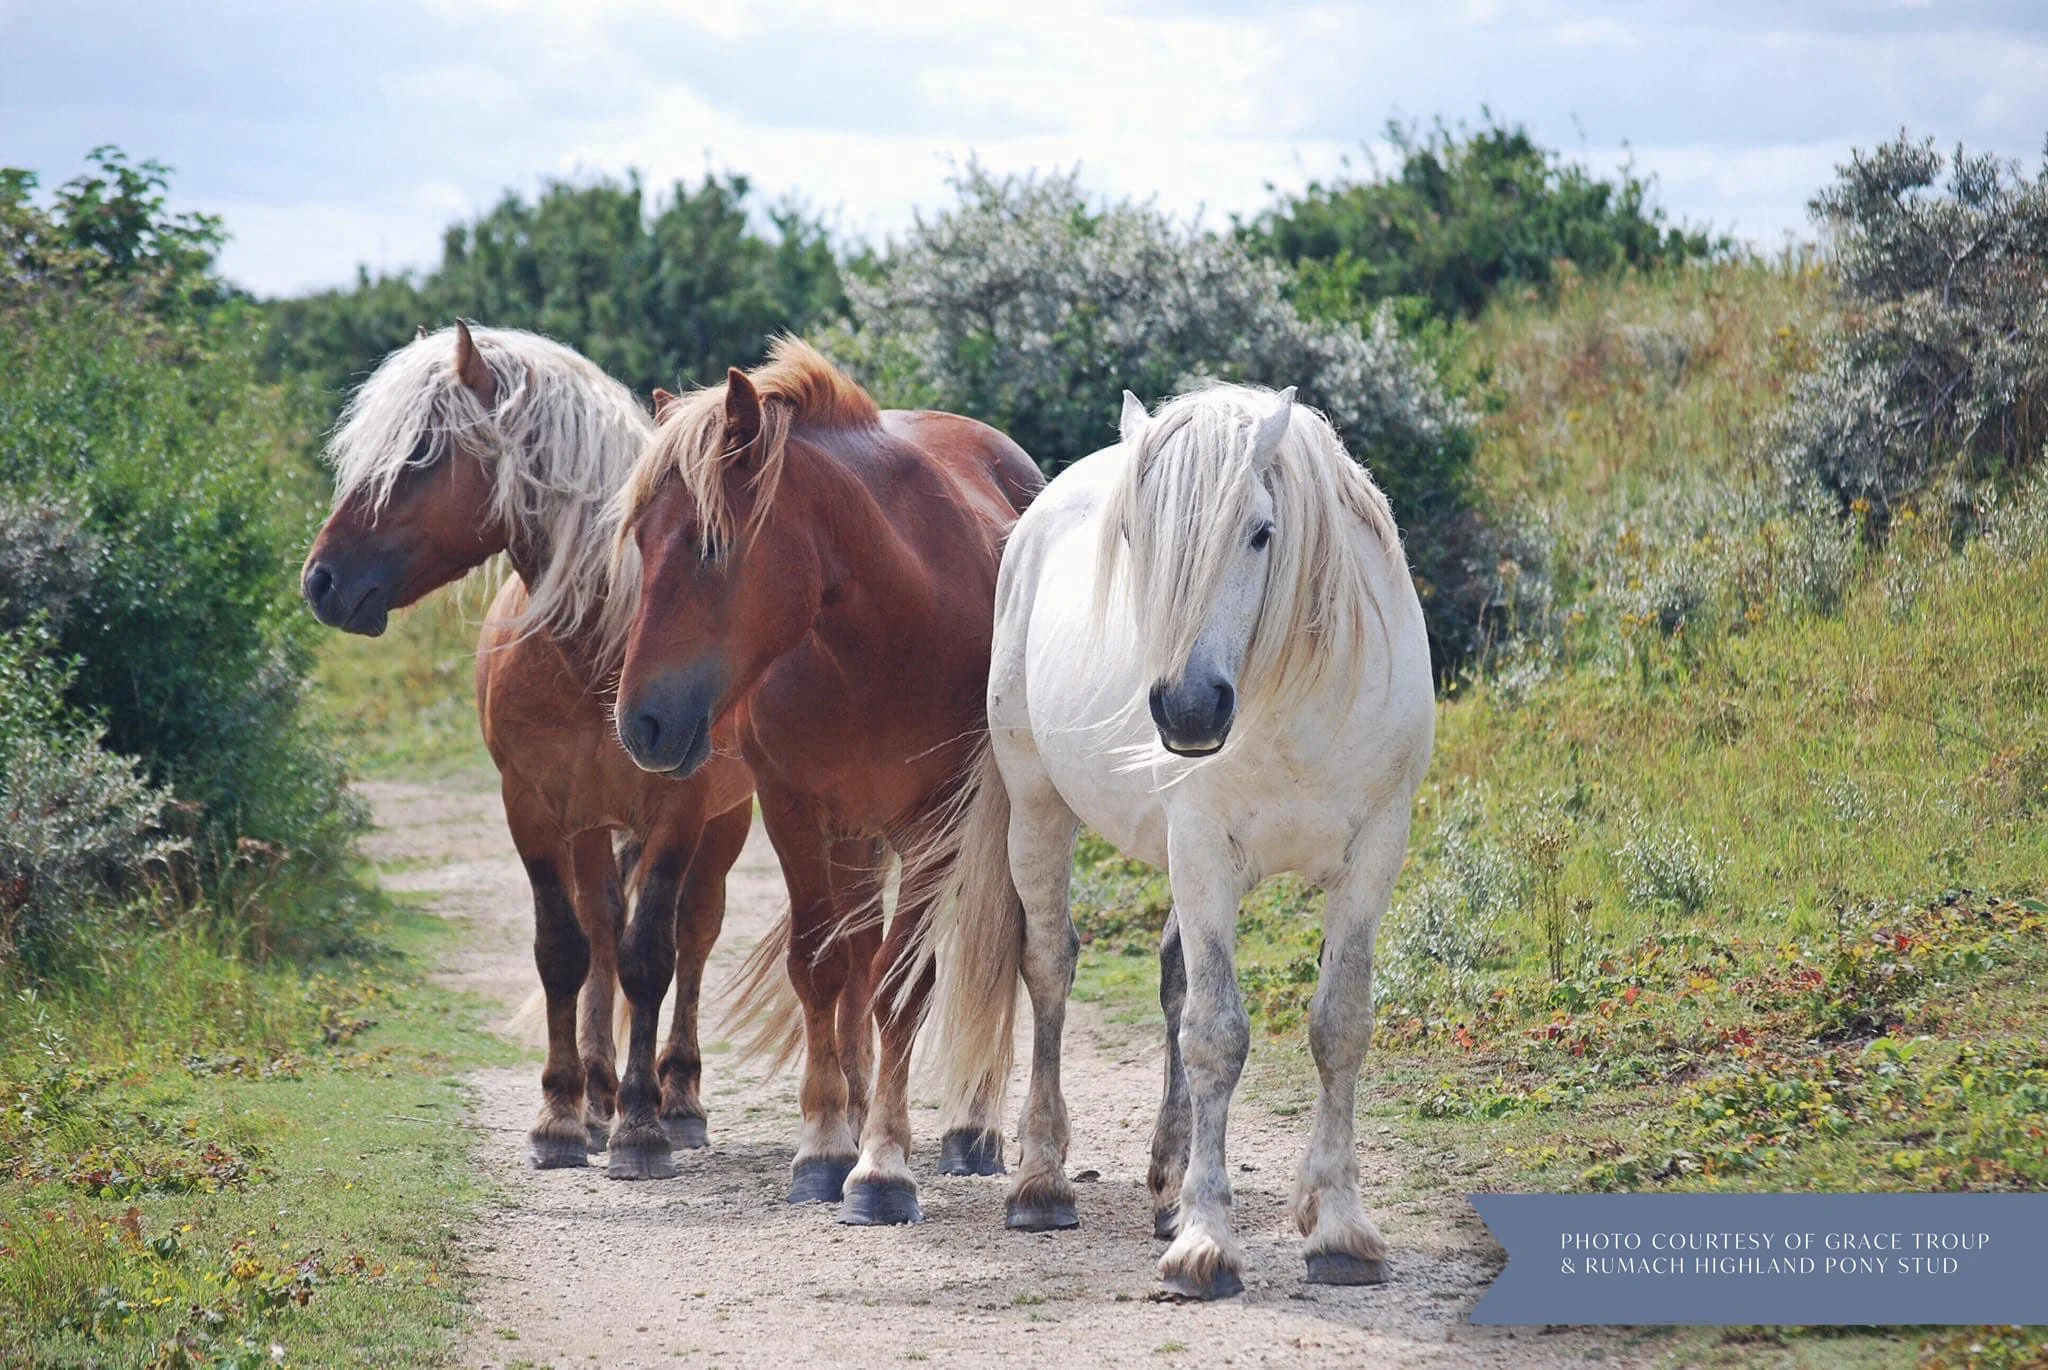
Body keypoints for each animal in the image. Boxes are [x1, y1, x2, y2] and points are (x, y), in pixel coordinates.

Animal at [301, 321, 756, 1180]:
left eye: (421, 451)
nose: (320, 581)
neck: (599, 643)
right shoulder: (535, 808)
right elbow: (565, 951)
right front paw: (561, 1116)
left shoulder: (679, 813)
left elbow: (652, 957)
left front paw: (642, 1129)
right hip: (592, 827)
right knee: (602, 929)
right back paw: (600, 1094)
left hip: (725, 825)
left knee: (693, 935)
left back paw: (675, 1099)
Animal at [610, 337, 1042, 1224]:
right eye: (637, 539)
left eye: (710, 544)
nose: (641, 725)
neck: (881, 631)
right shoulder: (795, 810)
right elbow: (821, 969)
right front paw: (824, 1146)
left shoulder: (937, 823)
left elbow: (904, 988)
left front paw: (882, 1169)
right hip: (854, 837)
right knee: (855, 958)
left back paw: (969, 1132)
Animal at [911, 384, 1434, 1298]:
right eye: (1134, 535)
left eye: (1261, 531)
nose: (1189, 709)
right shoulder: (1203, 850)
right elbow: (1216, 1034)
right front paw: (1205, 1243)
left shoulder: (1374, 856)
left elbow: (1339, 1025)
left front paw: (1337, 1228)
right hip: (1039, 811)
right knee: (1050, 967)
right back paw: (1041, 1183)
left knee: (1170, 976)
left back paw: (1165, 1183)